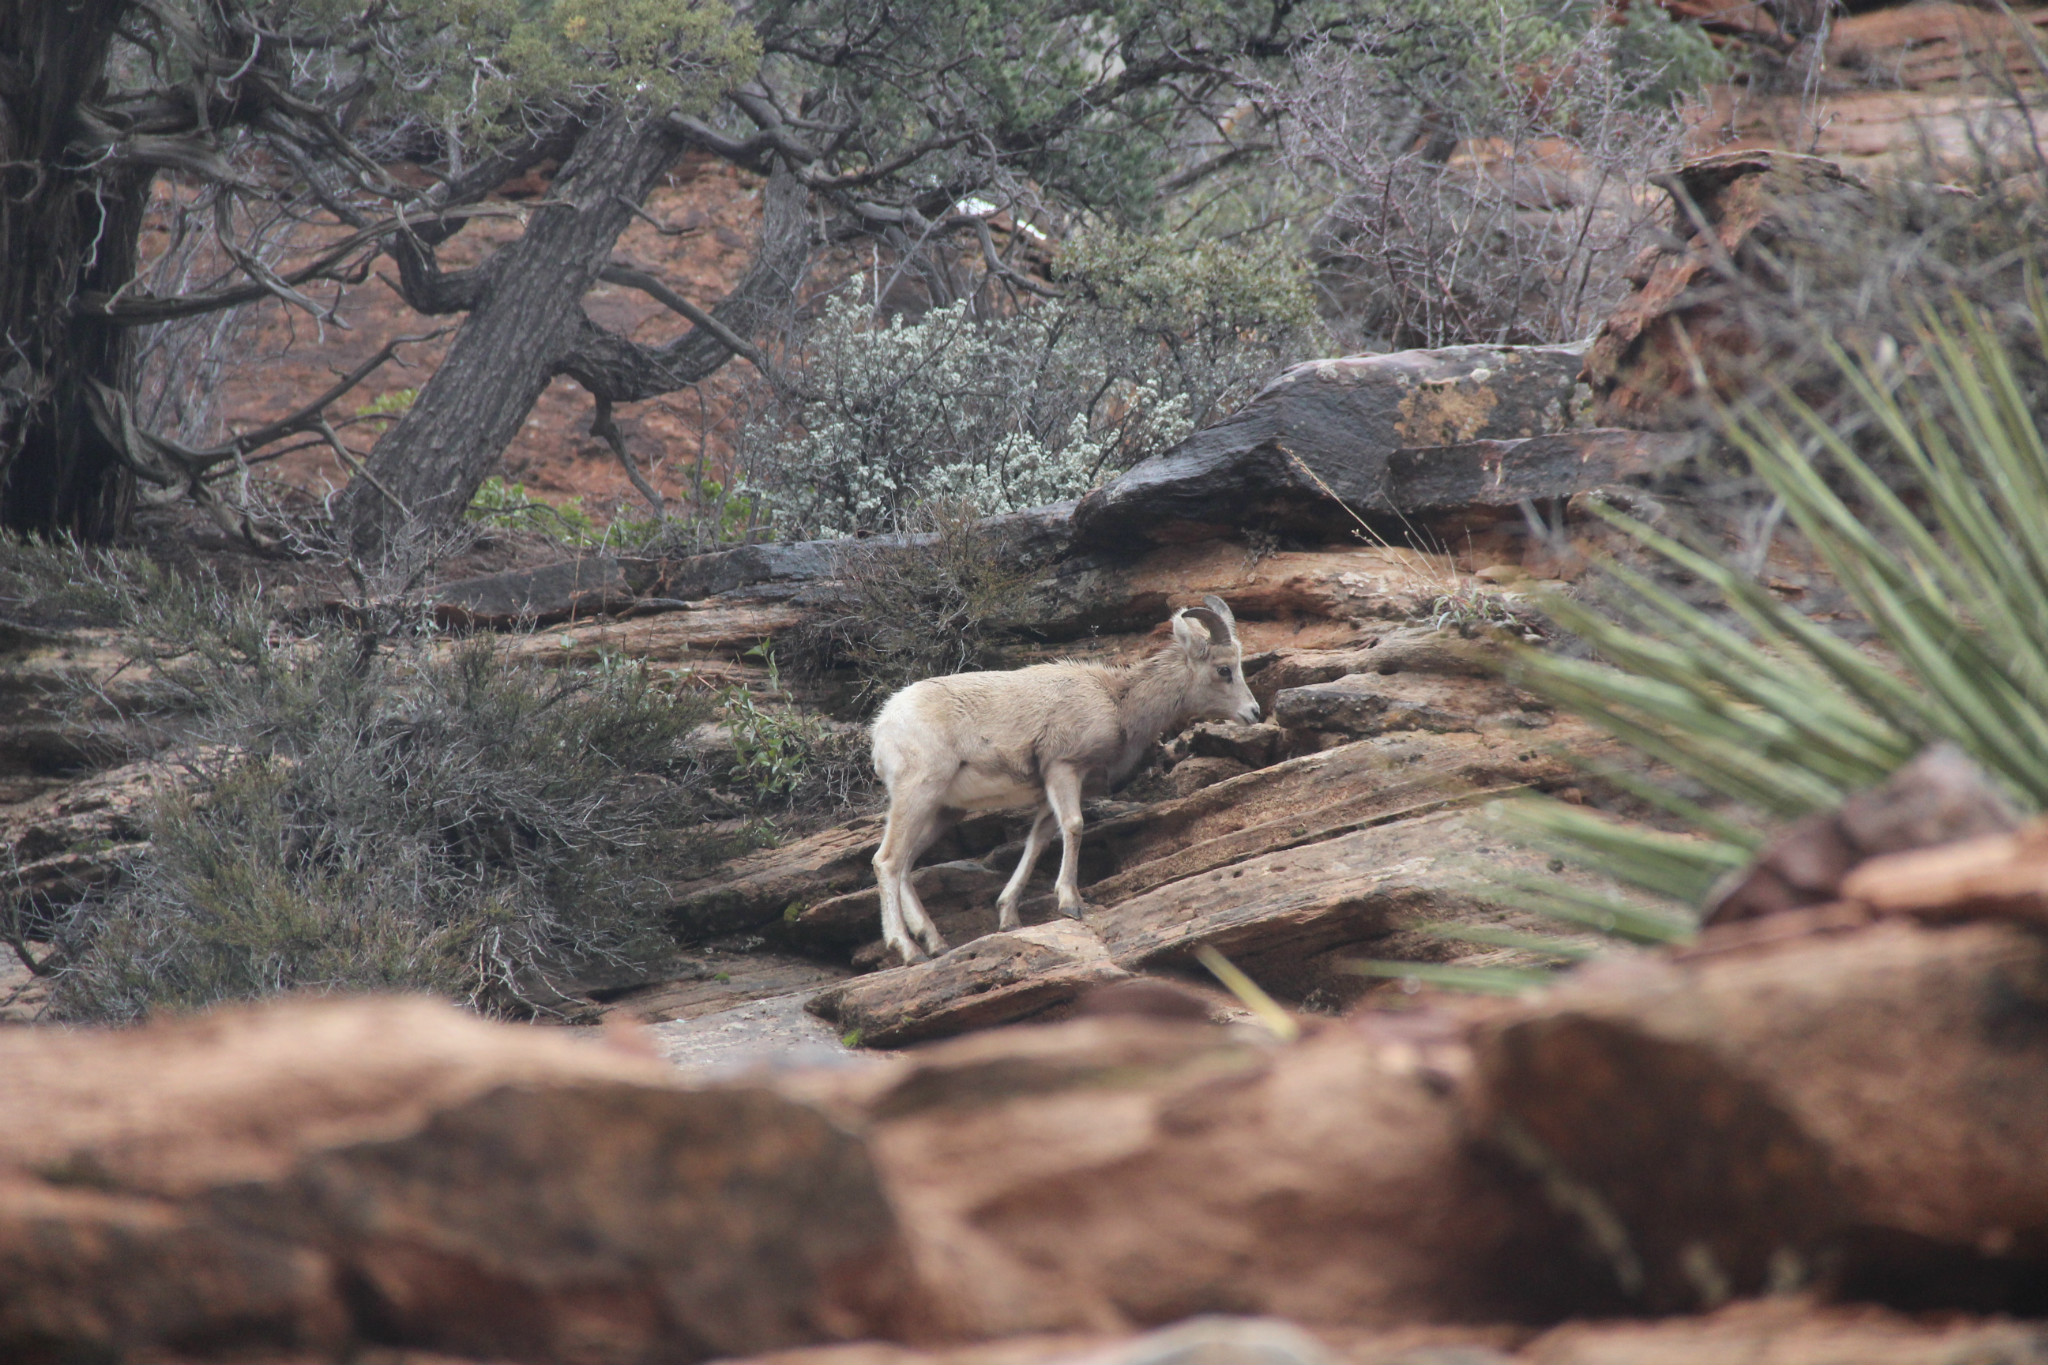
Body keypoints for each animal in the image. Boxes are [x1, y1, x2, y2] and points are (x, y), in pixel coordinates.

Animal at [868, 593, 1253, 965]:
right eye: (1224, 669)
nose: (1253, 712)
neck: (1118, 702)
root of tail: (882, 726)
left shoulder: (1047, 793)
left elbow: (1037, 842)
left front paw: (1008, 917)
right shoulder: (1064, 769)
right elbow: (1074, 826)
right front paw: (1070, 903)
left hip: (944, 811)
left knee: (906, 865)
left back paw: (936, 944)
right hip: (918, 792)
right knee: (887, 861)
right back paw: (910, 950)